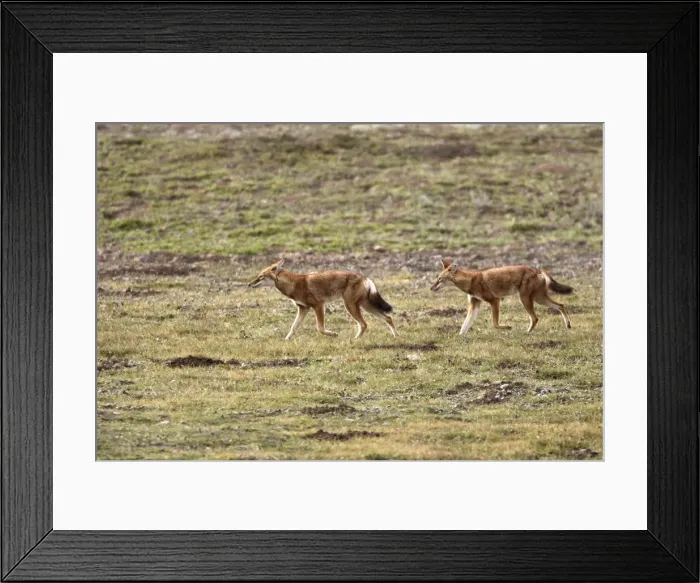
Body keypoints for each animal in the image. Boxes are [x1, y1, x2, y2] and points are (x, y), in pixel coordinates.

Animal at [248, 259, 398, 340]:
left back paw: (354, 340)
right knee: (388, 318)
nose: (249, 284)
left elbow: (319, 328)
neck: (294, 285)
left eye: (260, 277)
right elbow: (293, 328)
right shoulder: (303, 309)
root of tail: (363, 276)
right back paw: (396, 336)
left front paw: (334, 334)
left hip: (351, 306)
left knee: (364, 324)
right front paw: (286, 340)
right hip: (365, 306)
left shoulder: (319, 305)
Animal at [430, 258, 573, 335]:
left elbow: (494, 324)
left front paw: (508, 327)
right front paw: (459, 337)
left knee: (536, 318)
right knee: (561, 305)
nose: (431, 288)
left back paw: (526, 332)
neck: (471, 281)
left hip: (528, 300)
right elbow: (463, 327)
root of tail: (538, 270)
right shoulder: (474, 305)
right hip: (538, 299)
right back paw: (568, 325)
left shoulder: (495, 300)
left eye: (440, 279)